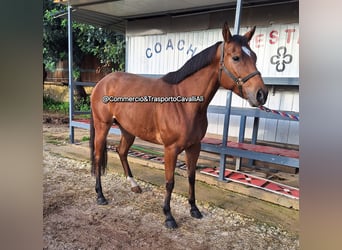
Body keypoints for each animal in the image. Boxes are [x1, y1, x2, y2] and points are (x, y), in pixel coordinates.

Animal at [89, 22, 268, 229]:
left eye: (254, 57)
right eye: (236, 57)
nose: (261, 94)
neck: (183, 102)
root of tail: (102, 82)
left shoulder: (194, 147)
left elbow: (191, 177)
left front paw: (194, 209)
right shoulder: (171, 149)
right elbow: (170, 182)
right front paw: (168, 216)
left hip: (128, 130)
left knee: (122, 152)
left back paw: (134, 185)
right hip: (103, 126)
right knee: (98, 156)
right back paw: (100, 195)